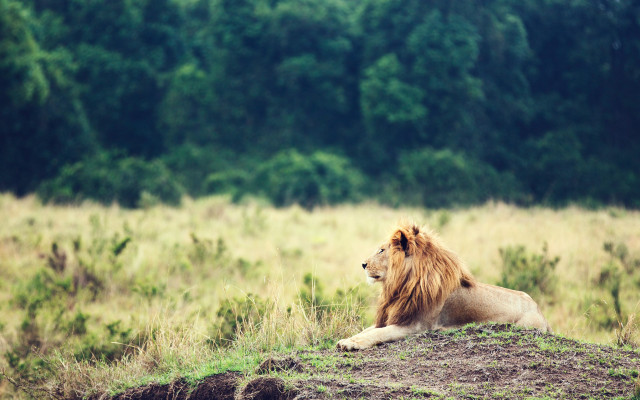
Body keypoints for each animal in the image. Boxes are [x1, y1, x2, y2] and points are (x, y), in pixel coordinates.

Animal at [336, 223, 551, 351]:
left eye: (381, 250)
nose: (363, 264)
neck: (402, 284)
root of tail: (540, 312)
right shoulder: (399, 316)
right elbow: (367, 330)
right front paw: (346, 340)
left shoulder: (416, 325)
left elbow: (379, 333)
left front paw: (352, 344)